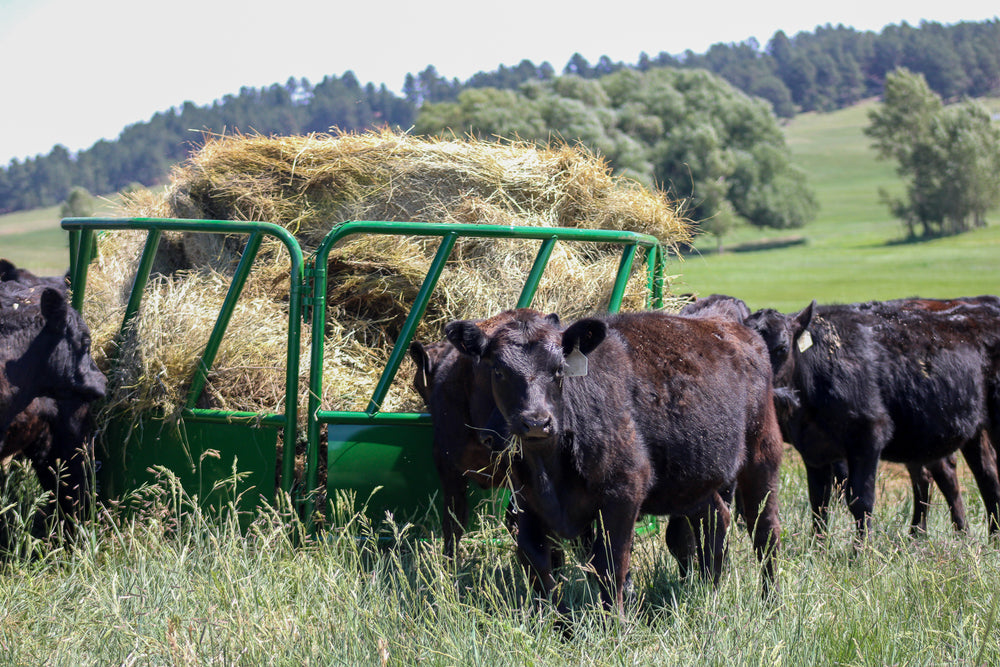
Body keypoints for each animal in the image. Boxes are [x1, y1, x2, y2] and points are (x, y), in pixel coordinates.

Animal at [446, 308, 780, 616]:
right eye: (498, 371)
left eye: (559, 369)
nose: (537, 422)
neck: (549, 472)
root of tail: (732, 328)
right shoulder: (525, 499)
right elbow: (536, 560)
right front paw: (556, 624)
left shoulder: (623, 491)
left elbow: (610, 562)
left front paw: (615, 624)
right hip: (693, 480)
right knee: (715, 519)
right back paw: (708, 591)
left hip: (762, 456)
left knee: (766, 532)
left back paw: (770, 603)